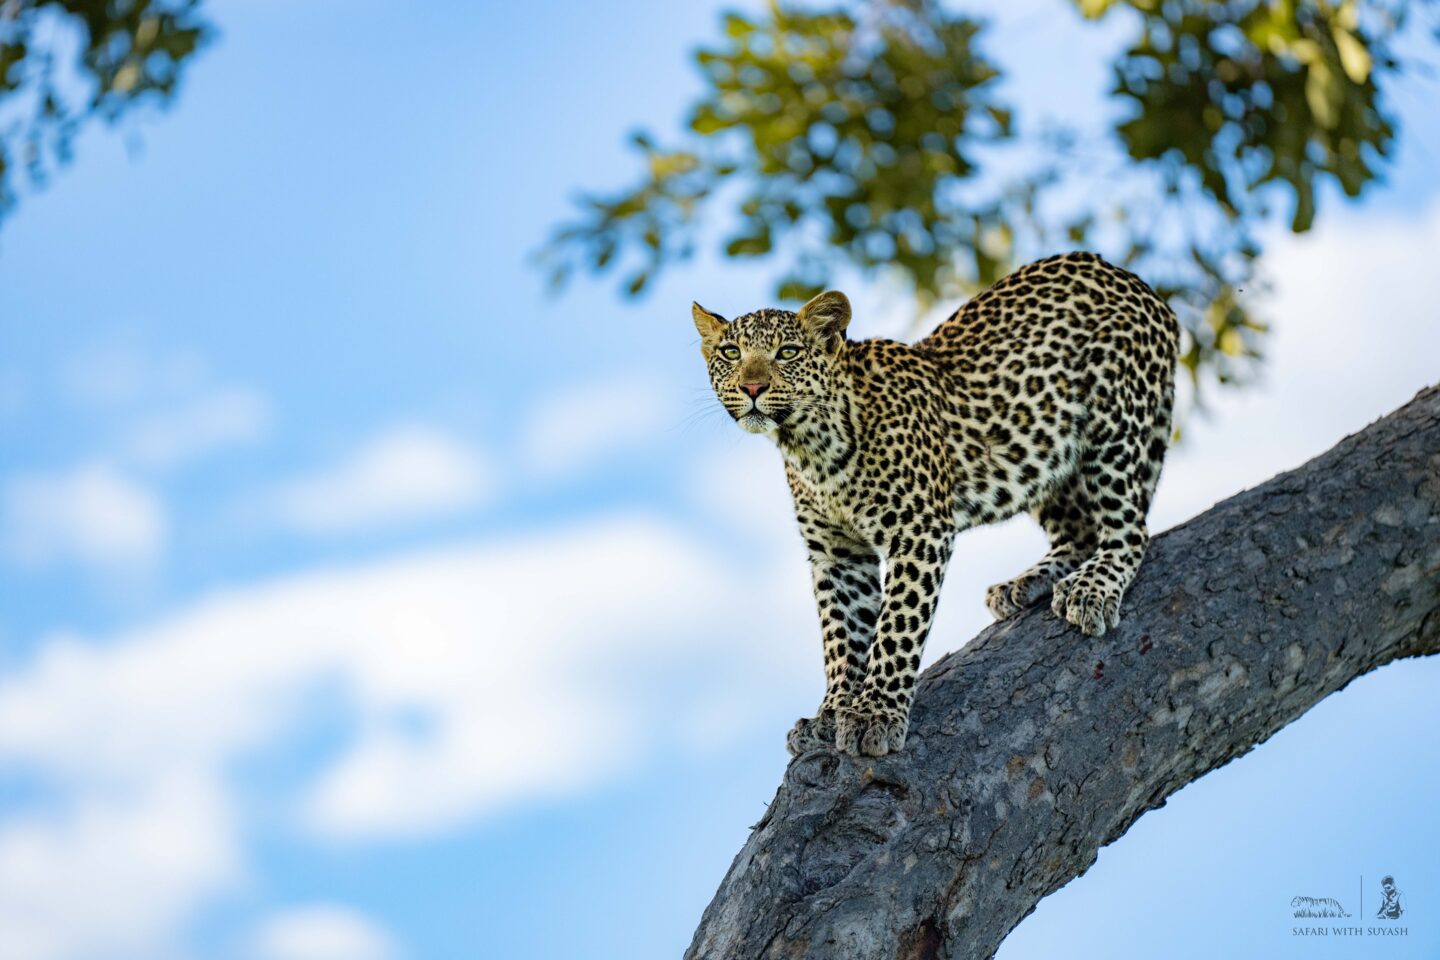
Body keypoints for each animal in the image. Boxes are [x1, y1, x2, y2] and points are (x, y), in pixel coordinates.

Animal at [691, 253, 1175, 759]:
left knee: (1129, 532)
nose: (752, 387)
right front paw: (830, 713)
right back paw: (1025, 584)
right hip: (1042, 453)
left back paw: (1090, 589)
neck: (812, 448)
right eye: (731, 354)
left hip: (1113, 424)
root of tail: (1135, 281)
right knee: (1079, 533)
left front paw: (874, 715)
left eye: (787, 352)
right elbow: (842, 638)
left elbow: (895, 627)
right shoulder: (837, 554)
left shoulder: (918, 531)